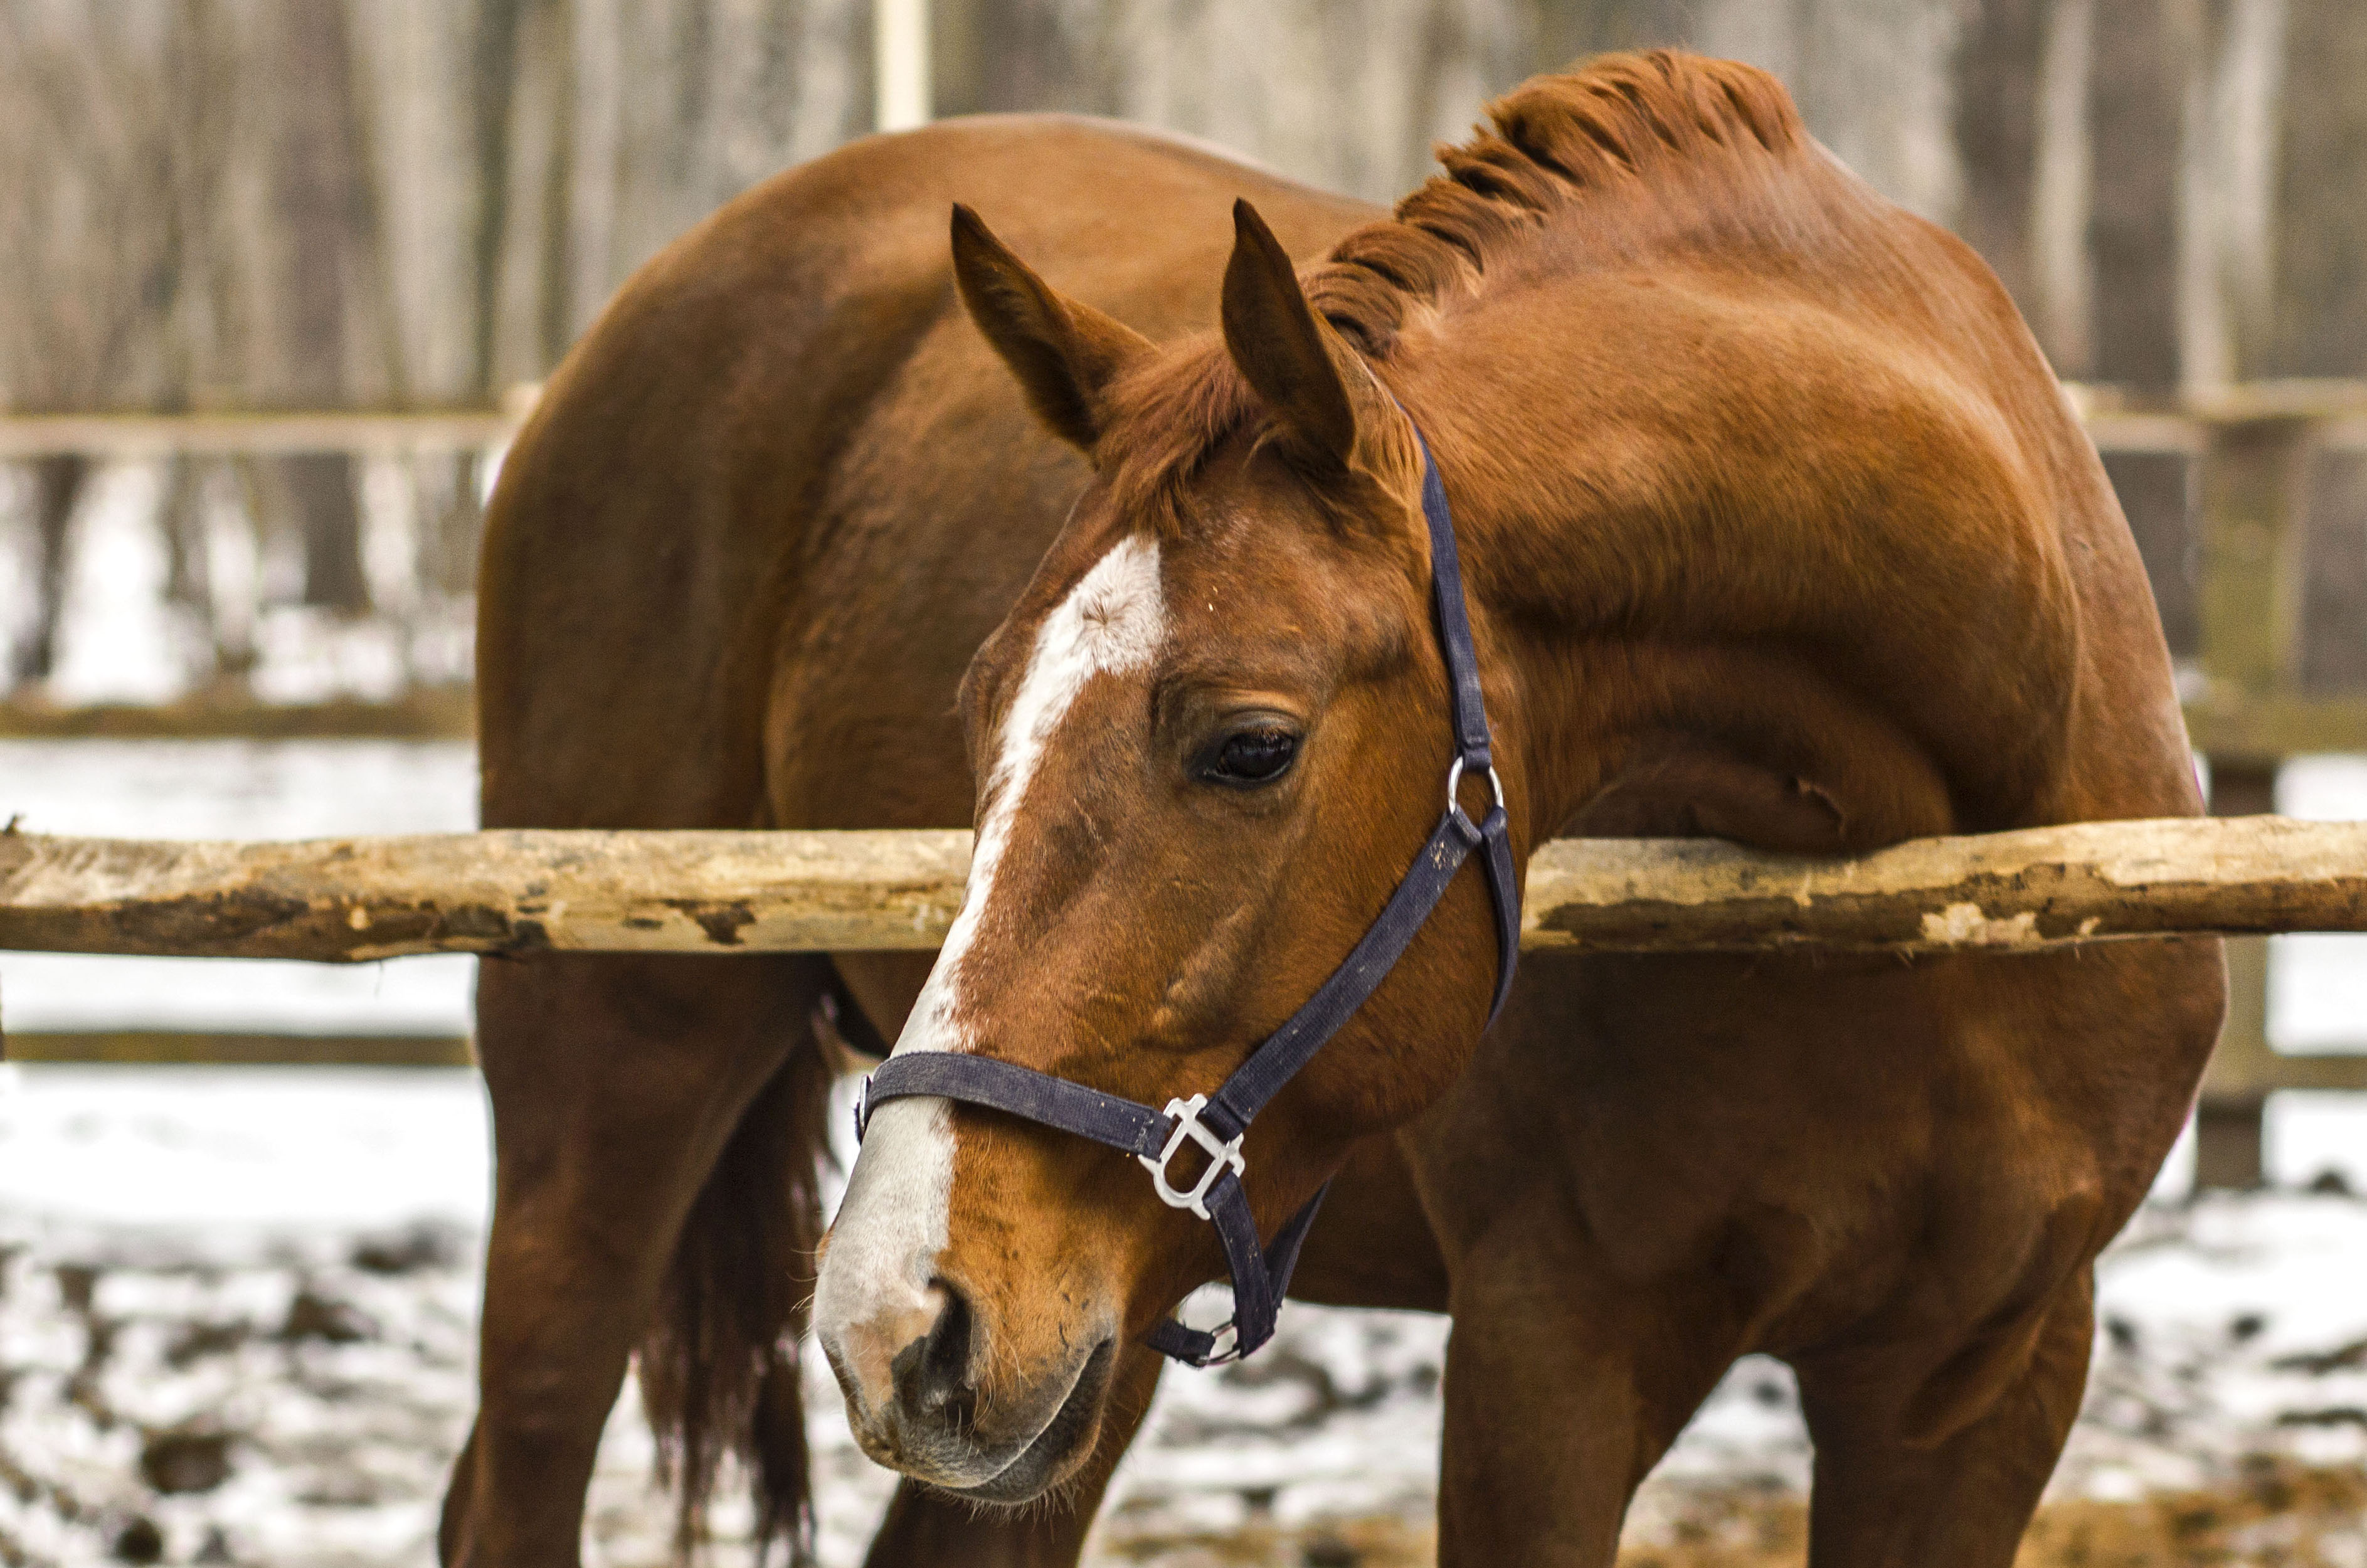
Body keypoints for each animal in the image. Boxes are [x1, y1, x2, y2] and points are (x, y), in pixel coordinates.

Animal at [452, 52, 2225, 1568]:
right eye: (979, 711)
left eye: (1251, 746)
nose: (895, 1315)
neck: (1924, 873)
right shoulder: (1552, 1345)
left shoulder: (1984, 1378)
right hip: (614, 1088)